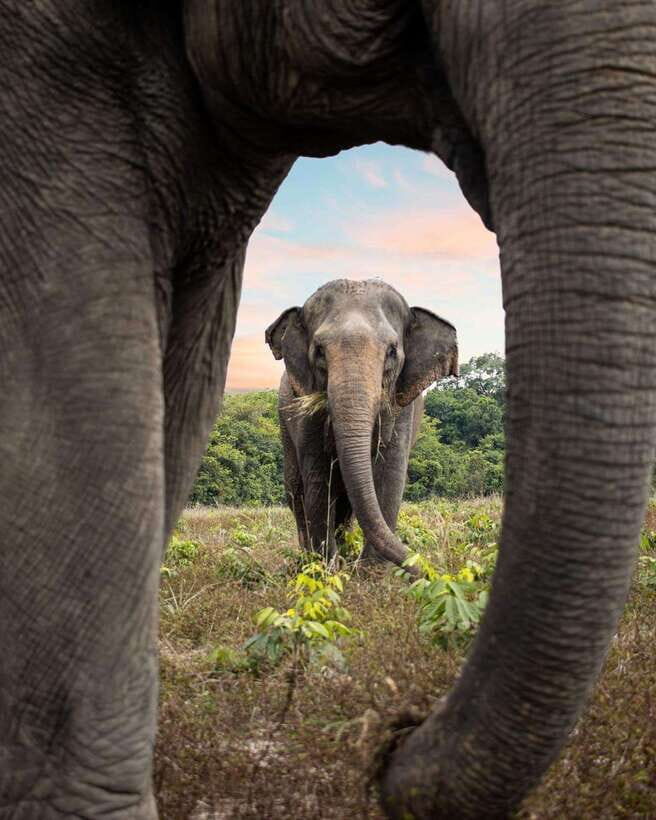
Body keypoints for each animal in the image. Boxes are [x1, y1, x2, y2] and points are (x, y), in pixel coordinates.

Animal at [266, 278, 457, 566]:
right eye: (319, 351)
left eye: (392, 351)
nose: (424, 567)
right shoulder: (306, 414)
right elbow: (319, 478)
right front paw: (328, 568)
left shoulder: (402, 411)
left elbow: (390, 475)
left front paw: (369, 571)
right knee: (297, 490)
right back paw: (307, 560)